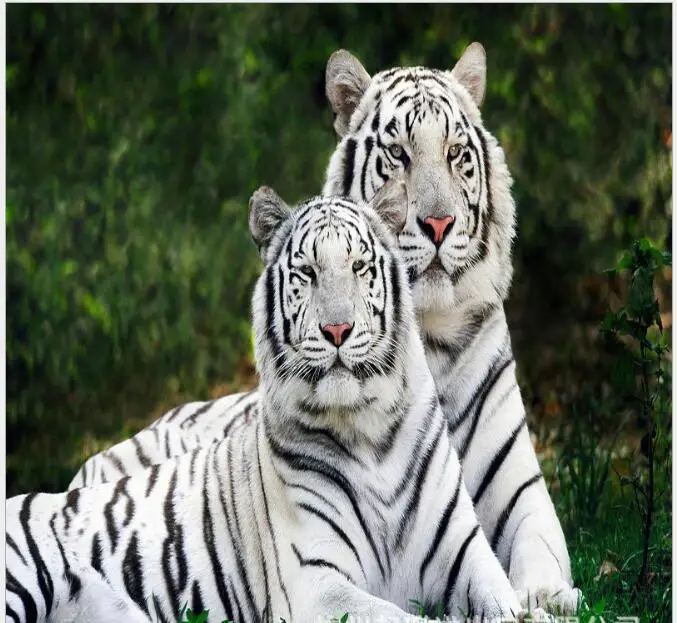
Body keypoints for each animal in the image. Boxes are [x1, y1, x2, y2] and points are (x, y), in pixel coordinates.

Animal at [6, 186, 548, 623]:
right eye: (307, 272)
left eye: (359, 266)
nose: (337, 330)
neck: (369, 429)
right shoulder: (316, 583)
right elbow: (404, 619)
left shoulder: (466, 554)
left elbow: (505, 602)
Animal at [68, 43, 581, 613]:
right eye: (398, 154)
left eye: (455, 153)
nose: (438, 224)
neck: (428, 335)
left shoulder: (521, 492)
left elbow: (539, 554)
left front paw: (548, 597)